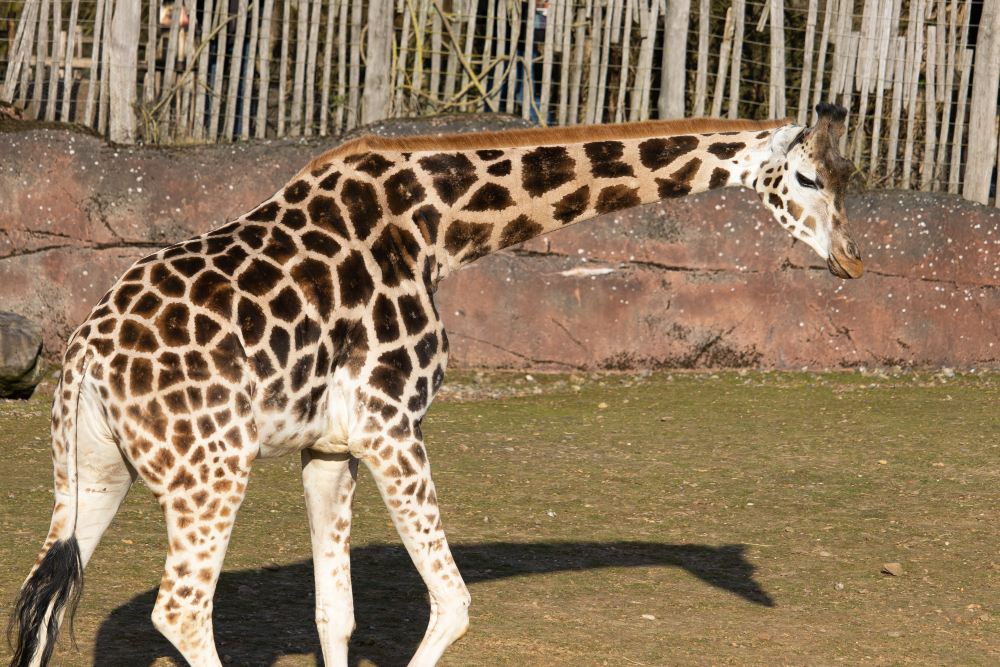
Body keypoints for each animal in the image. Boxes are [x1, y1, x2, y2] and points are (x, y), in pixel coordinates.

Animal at [8, 102, 861, 667]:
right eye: (808, 176)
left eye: (846, 176)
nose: (851, 259)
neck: (443, 226)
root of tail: (83, 357)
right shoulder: (393, 422)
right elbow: (452, 604)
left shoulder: (332, 446)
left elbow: (335, 614)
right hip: (209, 472)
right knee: (180, 610)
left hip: (90, 474)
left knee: (45, 600)